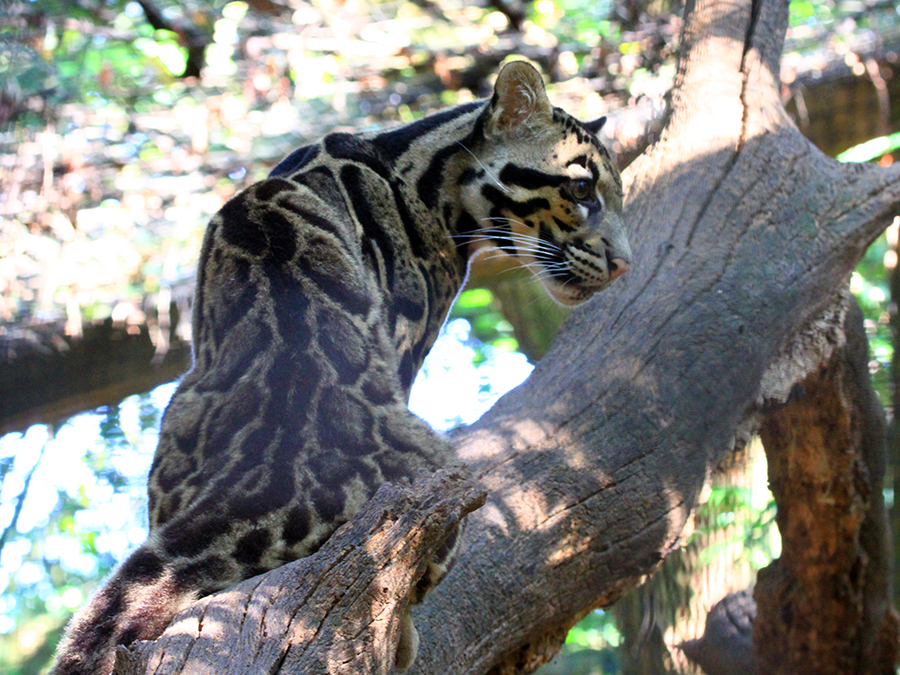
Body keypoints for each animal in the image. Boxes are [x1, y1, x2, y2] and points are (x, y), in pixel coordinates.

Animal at [52, 60, 628, 672]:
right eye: (582, 188)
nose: (624, 263)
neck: (421, 166)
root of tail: (272, 475)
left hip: (179, 413)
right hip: (440, 467)